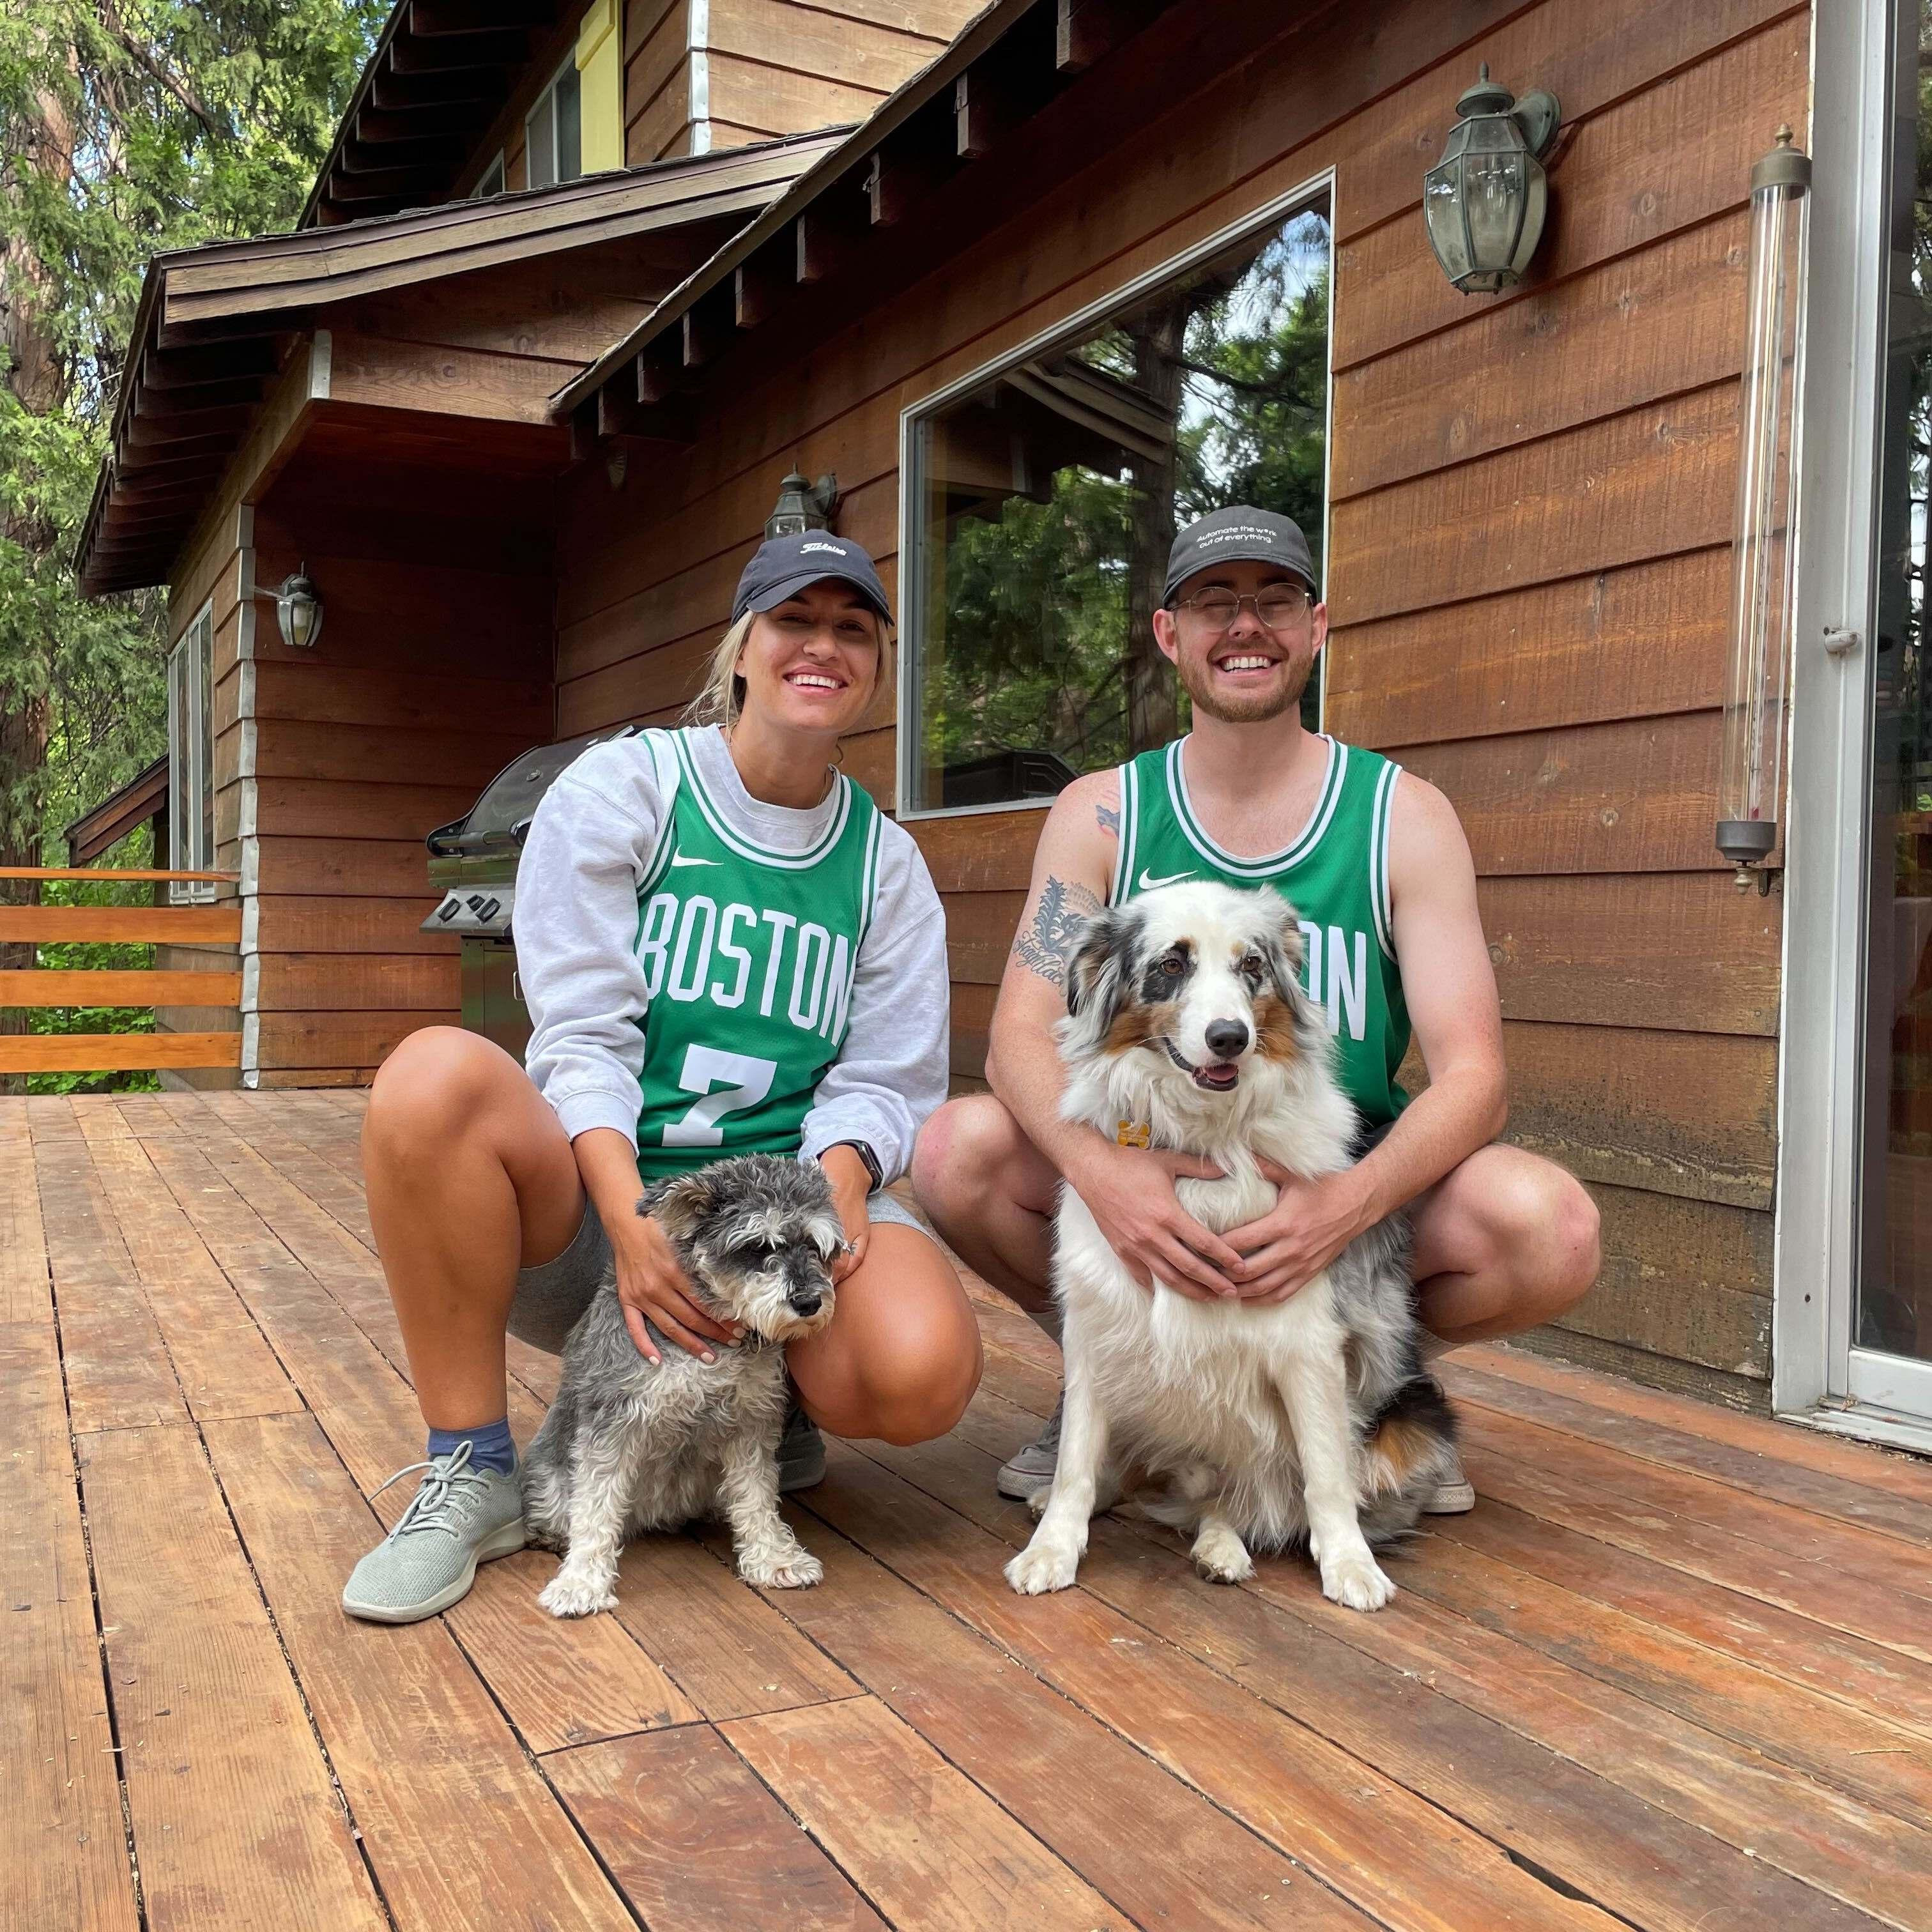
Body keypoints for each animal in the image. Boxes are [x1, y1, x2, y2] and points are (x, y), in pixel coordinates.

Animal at [521, 1144, 838, 1615]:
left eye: (817, 1246)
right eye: (757, 1246)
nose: (808, 1302)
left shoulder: (750, 1421)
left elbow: (757, 1495)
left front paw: (774, 1559)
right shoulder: (612, 1422)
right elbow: (594, 1507)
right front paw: (580, 1584)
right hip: (550, 1477)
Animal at [1012, 884, 1453, 1607]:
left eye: (1253, 967)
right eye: (1171, 964)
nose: (1231, 1038)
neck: (1207, 1138)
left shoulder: (1308, 1344)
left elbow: (1327, 1475)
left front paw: (1351, 1566)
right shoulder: (1095, 1329)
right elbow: (1078, 1460)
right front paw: (1051, 1549)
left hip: (1415, 1424)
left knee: (1247, 1502)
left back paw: (1223, 1548)